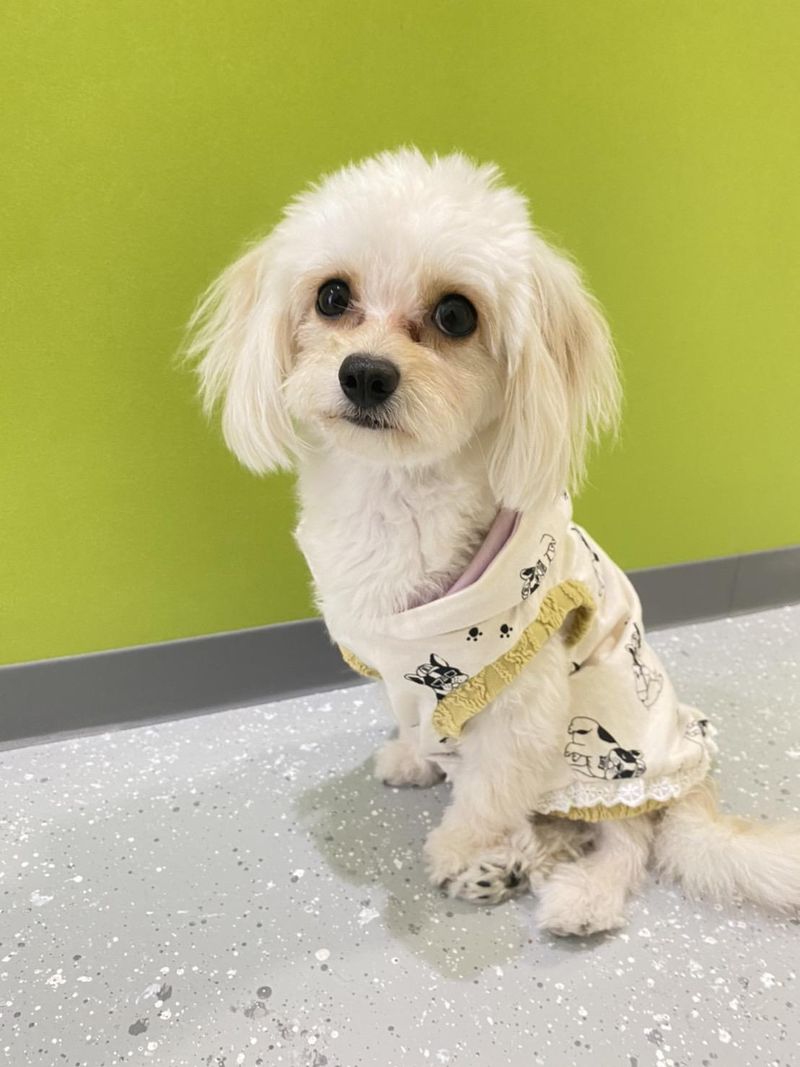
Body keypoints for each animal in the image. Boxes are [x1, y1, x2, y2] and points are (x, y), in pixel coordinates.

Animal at [188, 148, 800, 935]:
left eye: (456, 314)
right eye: (332, 296)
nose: (365, 372)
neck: (395, 504)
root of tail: (694, 784)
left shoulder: (522, 699)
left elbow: (486, 790)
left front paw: (457, 847)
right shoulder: (399, 673)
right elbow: (419, 725)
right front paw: (415, 760)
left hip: (614, 742)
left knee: (630, 833)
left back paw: (570, 890)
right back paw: (522, 858)